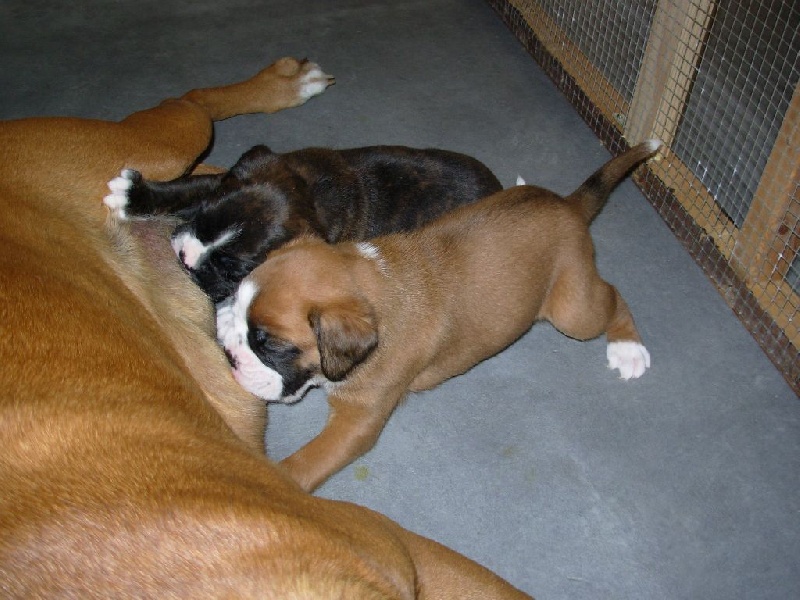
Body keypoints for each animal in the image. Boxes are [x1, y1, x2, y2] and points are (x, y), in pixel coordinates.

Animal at [106, 144, 500, 302]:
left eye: (234, 270)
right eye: (203, 218)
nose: (185, 257)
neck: (310, 190)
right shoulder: (218, 184)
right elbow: (185, 188)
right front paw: (133, 195)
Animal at [216, 141, 660, 492]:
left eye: (272, 345)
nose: (230, 357)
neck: (372, 283)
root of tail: (567, 205)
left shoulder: (356, 420)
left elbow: (302, 464)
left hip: (573, 312)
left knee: (613, 296)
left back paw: (628, 348)